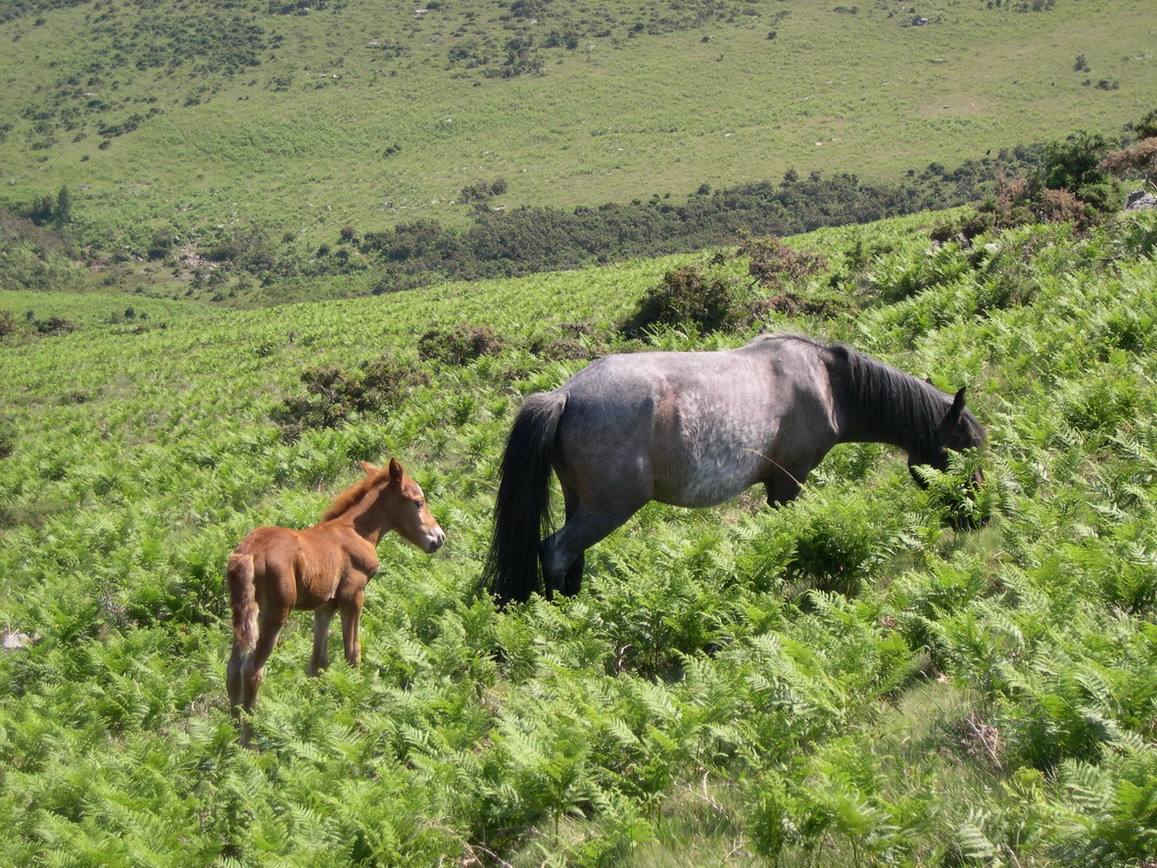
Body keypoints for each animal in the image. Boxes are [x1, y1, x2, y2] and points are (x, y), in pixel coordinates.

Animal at [227, 458, 444, 745]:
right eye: (418, 502)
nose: (439, 538)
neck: (357, 532)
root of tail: (247, 553)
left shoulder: (325, 607)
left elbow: (317, 662)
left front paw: (315, 713)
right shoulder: (353, 595)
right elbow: (353, 653)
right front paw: (355, 709)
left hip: (243, 616)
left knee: (232, 668)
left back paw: (230, 735)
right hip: (274, 614)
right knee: (251, 671)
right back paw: (249, 743)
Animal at [483, 333, 981, 606]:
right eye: (966, 448)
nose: (977, 519)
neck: (827, 383)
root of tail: (564, 395)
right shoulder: (788, 481)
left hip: (580, 504)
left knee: (571, 556)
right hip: (608, 509)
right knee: (556, 552)